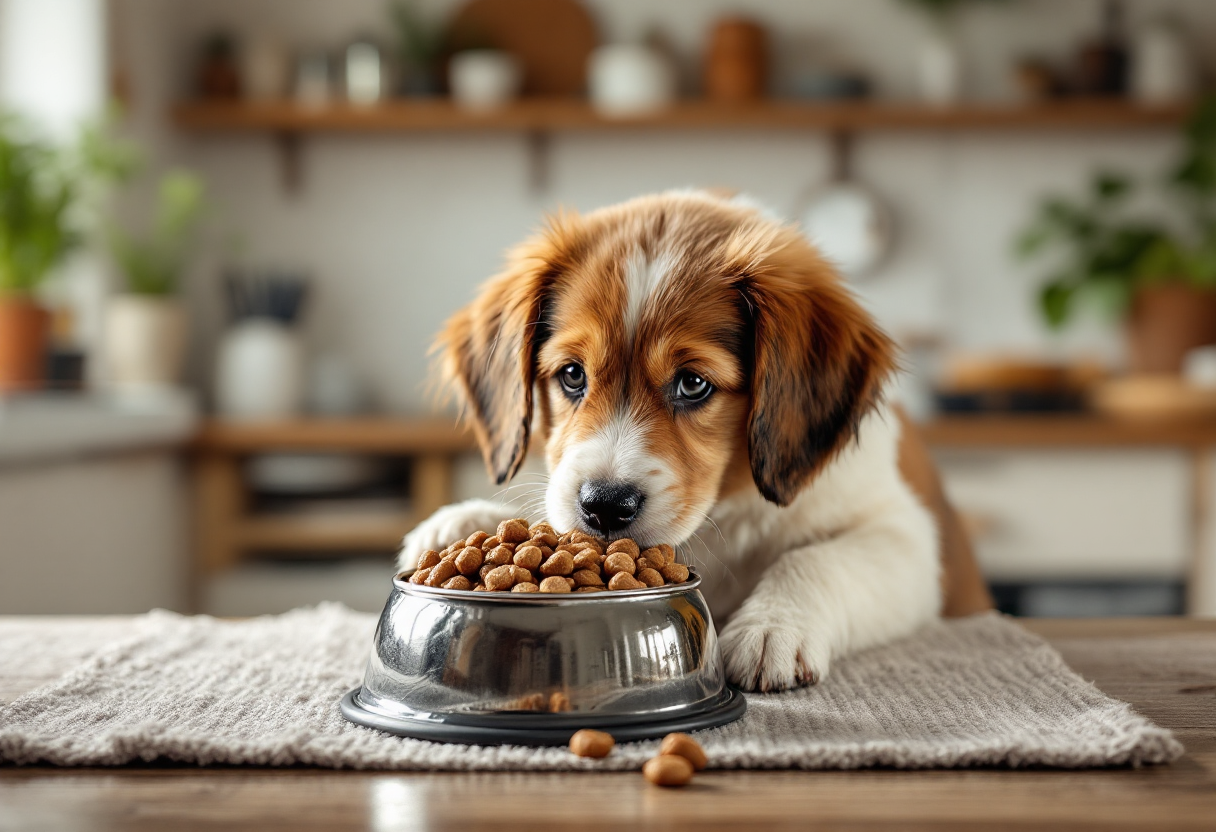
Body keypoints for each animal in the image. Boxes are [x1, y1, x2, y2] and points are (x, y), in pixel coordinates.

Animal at [403, 192, 992, 690]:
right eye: (572, 375)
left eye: (692, 383)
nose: (604, 507)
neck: (721, 511)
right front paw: (461, 519)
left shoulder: (907, 538)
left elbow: (815, 559)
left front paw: (771, 628)